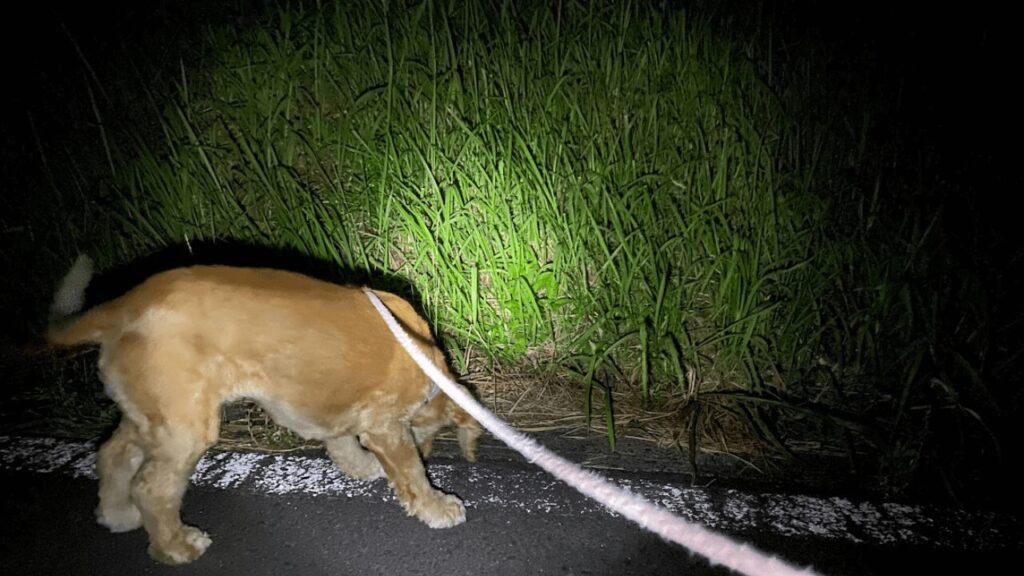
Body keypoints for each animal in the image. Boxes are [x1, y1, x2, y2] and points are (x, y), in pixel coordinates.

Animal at [46, 258, 481, 561]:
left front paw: (361, 467)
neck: (429, 367)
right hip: (184, 427)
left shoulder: (328, 407)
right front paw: (437, 506)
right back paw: (178, 547)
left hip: (151, 413)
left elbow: (341, 443)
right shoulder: (386, 425)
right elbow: (411, 473)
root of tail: (123, 306)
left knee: (111, 452)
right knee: (152, 488)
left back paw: (118, 514)